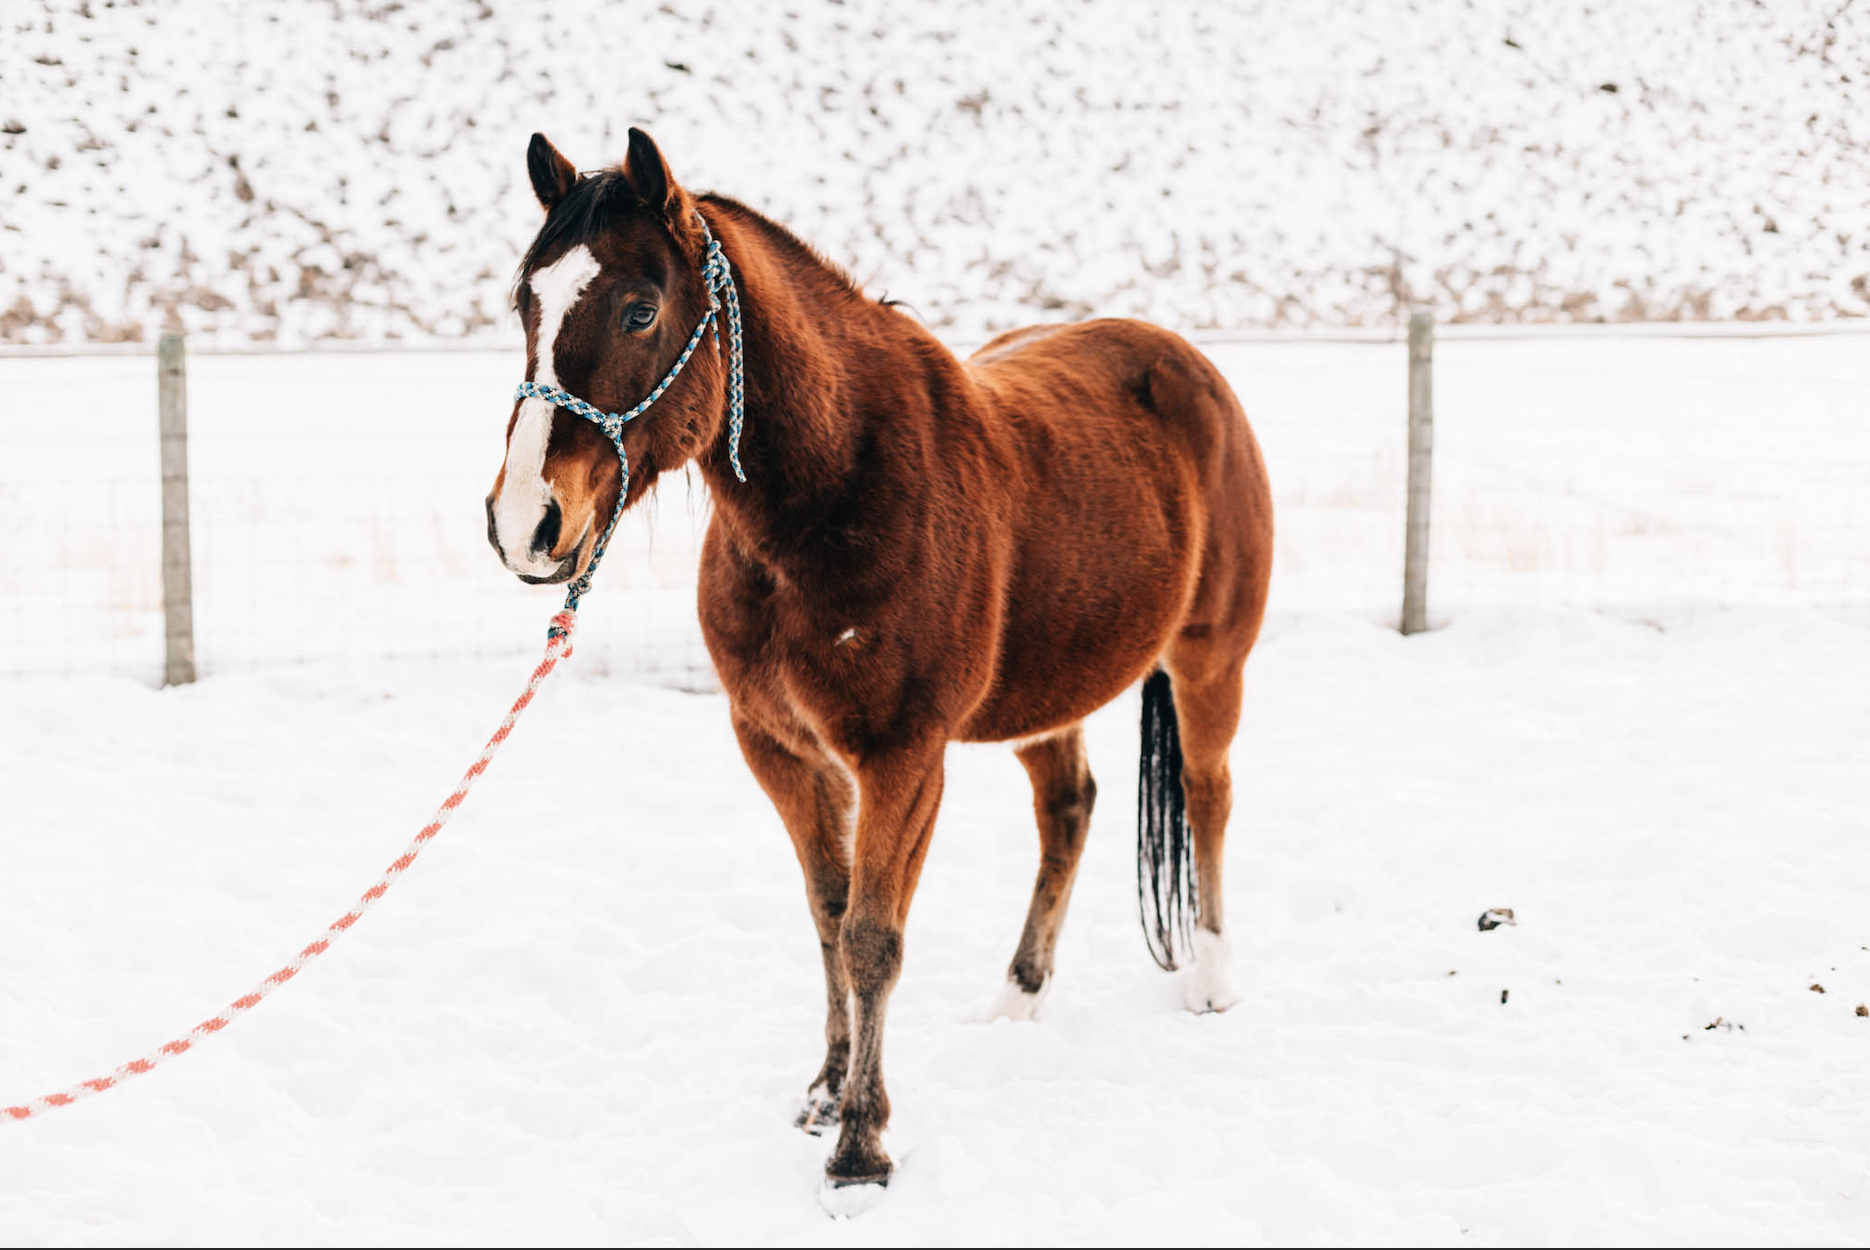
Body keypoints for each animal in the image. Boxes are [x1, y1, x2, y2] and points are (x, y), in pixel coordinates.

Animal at [485, 128, 1274, 1192]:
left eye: (639, 308)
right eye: (525, 302)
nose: (526, 523)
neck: (835, 492)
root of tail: (1188, 366)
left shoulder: (904, 756)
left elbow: (872, 937)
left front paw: (862, 1144)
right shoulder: (780, 747)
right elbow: (828, 915)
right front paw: (825, 1093)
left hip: (1208, 662)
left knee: (1206, 792)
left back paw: (1213, 981)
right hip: (1050, 691)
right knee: (1068, 811)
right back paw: (1016, 1002)